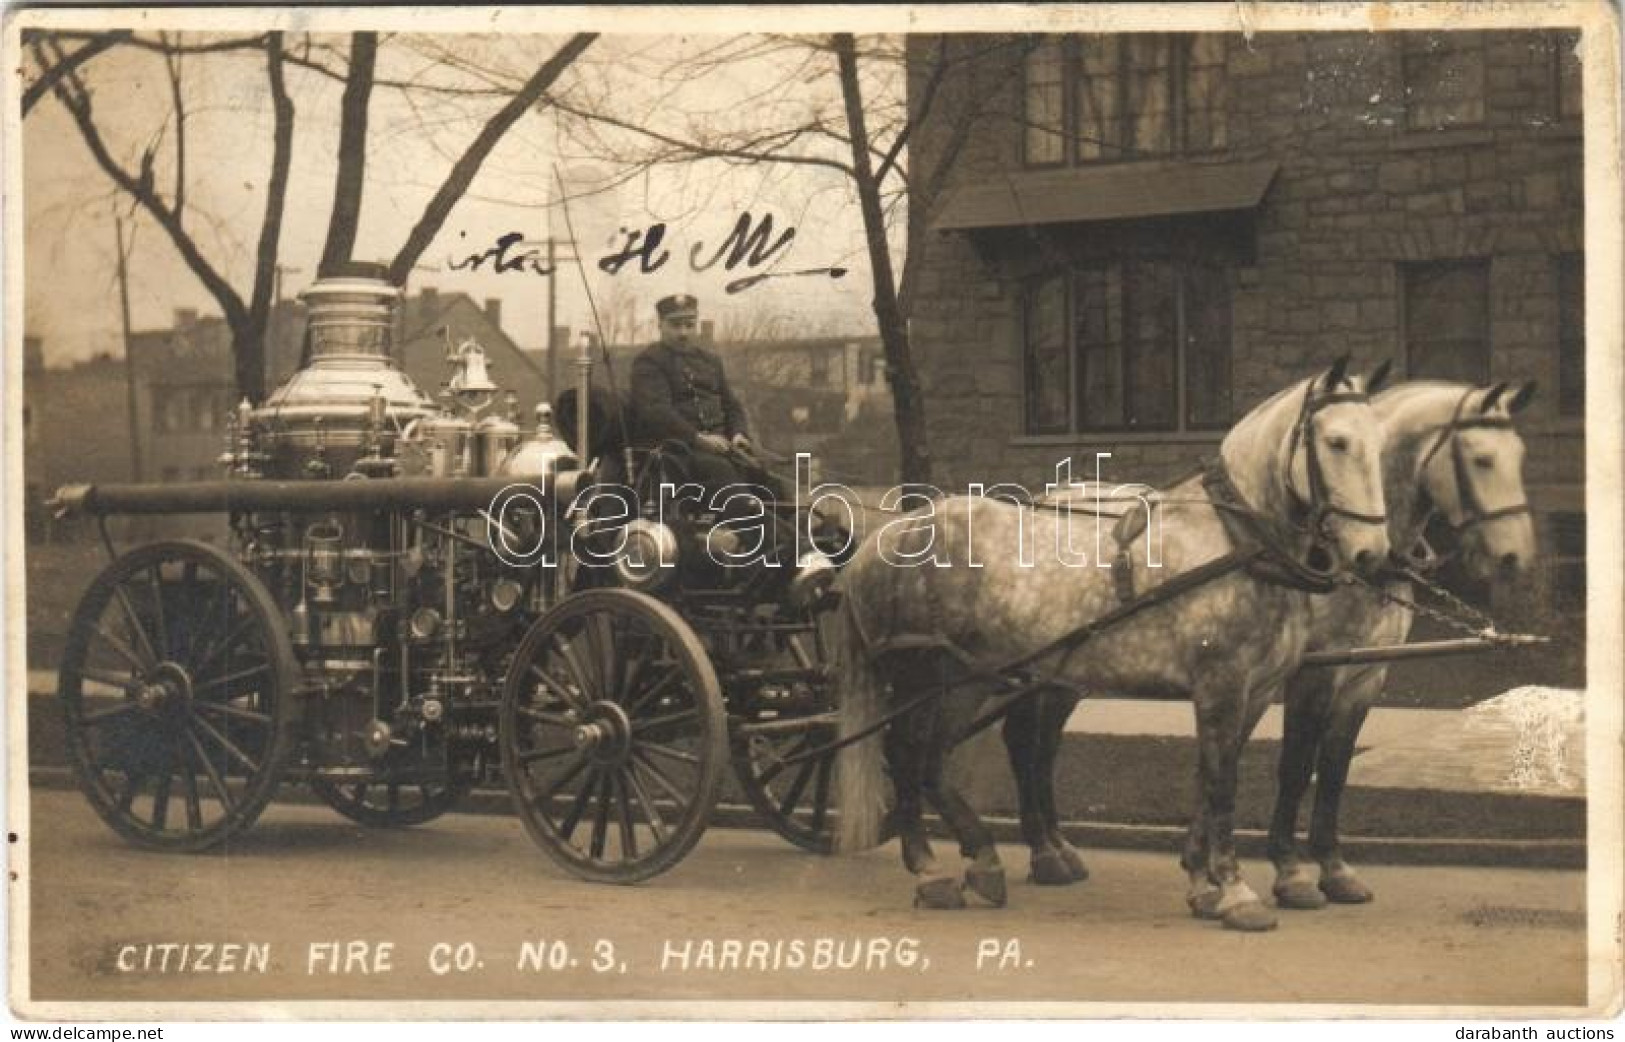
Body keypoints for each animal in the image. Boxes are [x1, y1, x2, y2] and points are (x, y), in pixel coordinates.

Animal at [838, 360, 1397, 929]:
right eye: (1336, 442)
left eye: (1378, 445)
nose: (1372, 554)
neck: (1235, 540)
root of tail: (885, 537)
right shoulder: (1222, 684)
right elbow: (1223, 784)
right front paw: (1237, 892)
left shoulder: (1257, 691)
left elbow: (1210, 777)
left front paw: (1204, 884)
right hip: (920, 676)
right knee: (905, 755)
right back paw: (930, 870)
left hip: (971, 679)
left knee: (933, 760)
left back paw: (983, 859)